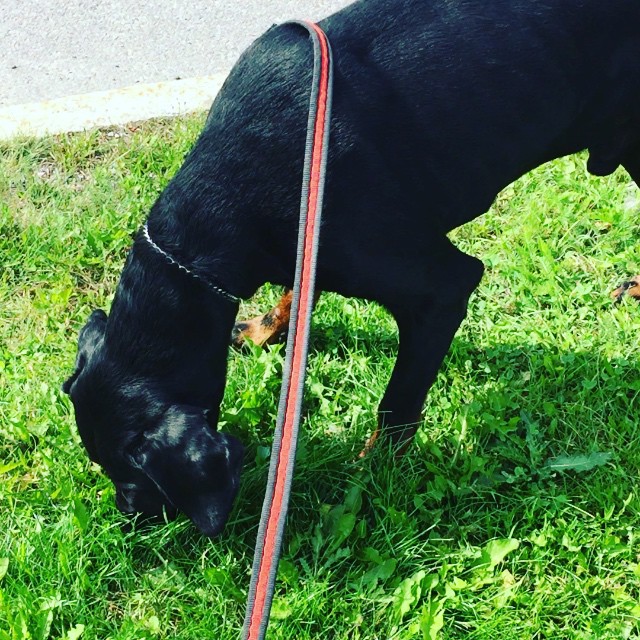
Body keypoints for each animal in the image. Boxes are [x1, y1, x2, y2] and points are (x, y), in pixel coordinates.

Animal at [63, 0, 640, 536]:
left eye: (131, 474)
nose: (128, 515)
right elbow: (294, 295)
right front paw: (260, 331)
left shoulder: (439, 288)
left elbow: (397, 404)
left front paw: (371, 473)